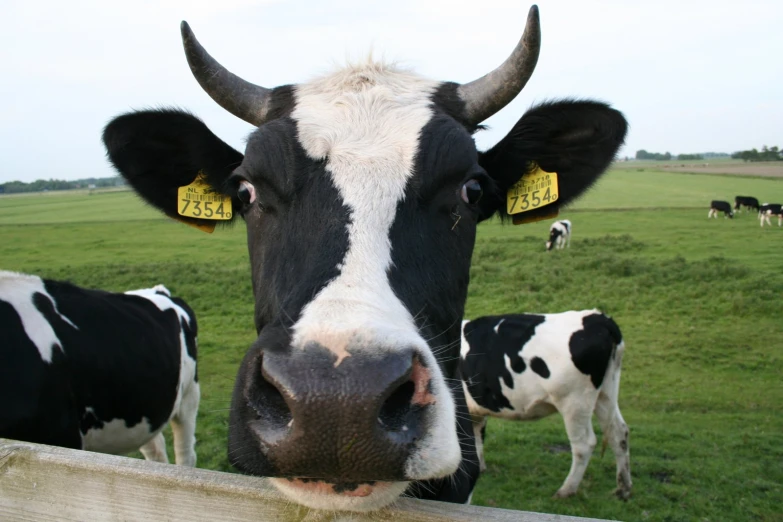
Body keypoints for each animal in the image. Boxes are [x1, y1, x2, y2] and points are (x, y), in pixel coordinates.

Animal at [460, 310, 632, 498]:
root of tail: (598, 318)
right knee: (619, 433)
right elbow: (476, 438)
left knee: (584, 444)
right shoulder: (475, 410)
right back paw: (623, 488)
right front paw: (479, 468)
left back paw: (566, 490)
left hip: (574, 401)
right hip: (606, 392)